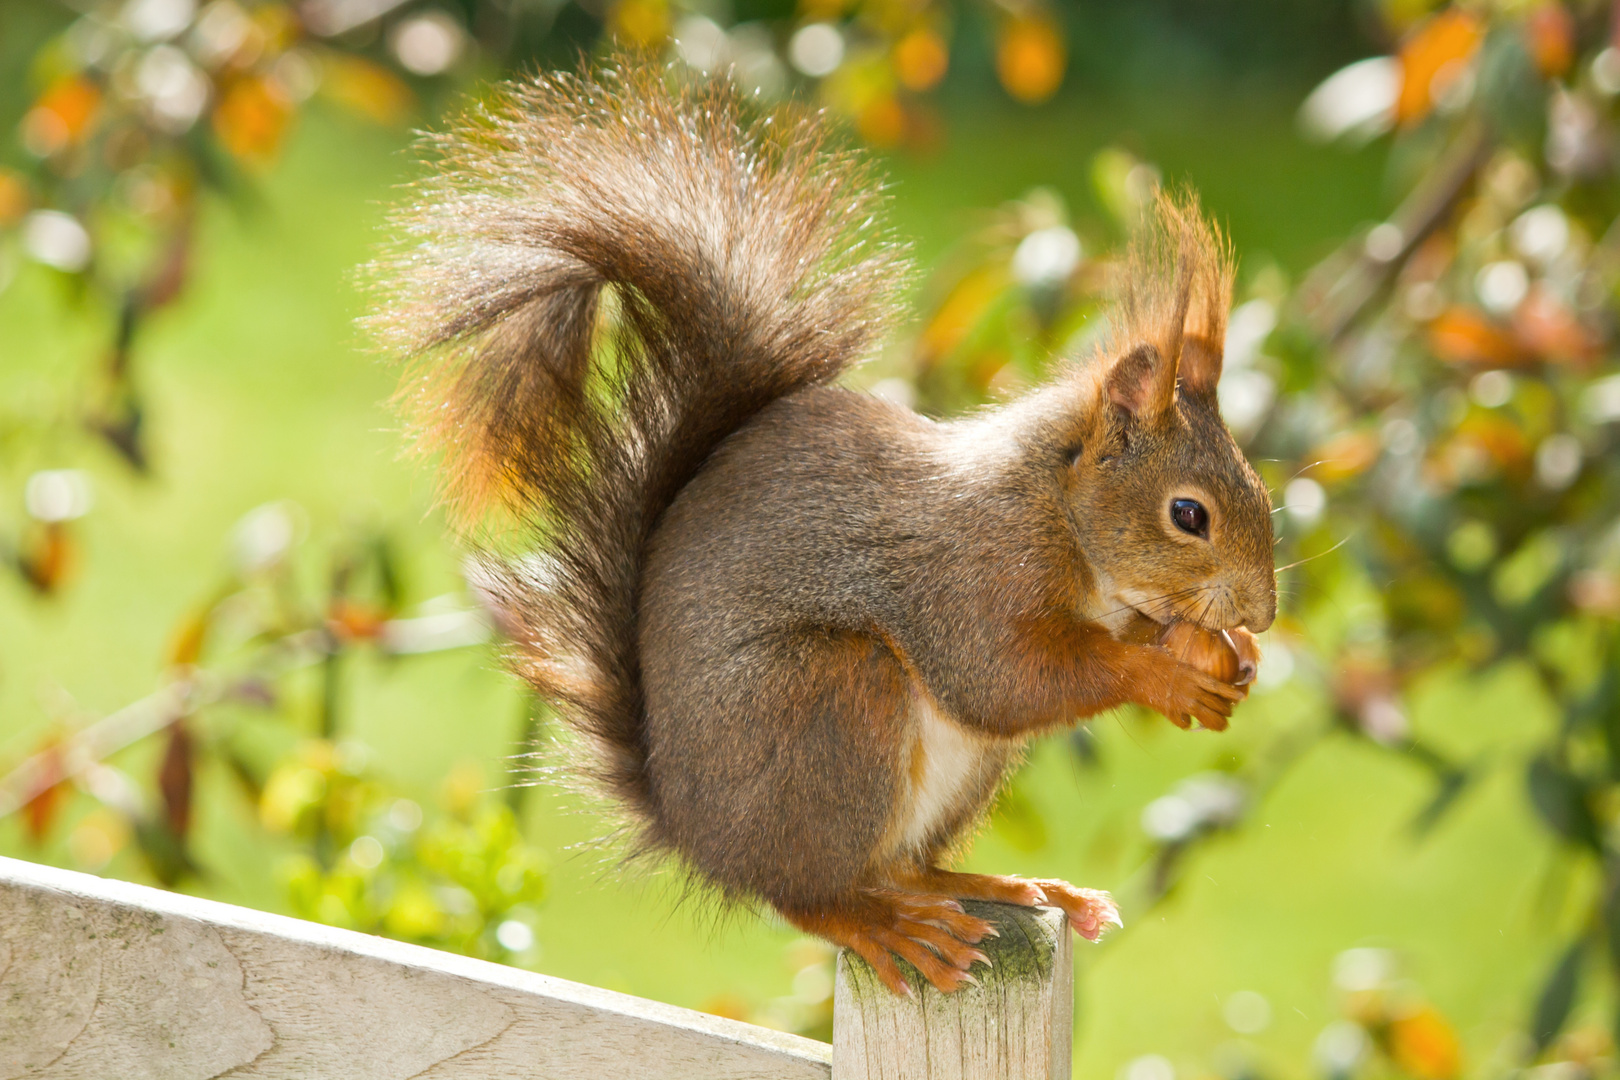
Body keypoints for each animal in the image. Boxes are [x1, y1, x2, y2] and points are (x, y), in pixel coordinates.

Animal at [370, 59, 1276, 997]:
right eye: (1189, 514)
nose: (1266, 611)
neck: (1059, 514)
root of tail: (696, 831)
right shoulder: (972, 570)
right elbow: (1002, 678)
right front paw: (1162, 674)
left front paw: (1222, 654)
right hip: (831, 702)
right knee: (808, 894)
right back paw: (880, 924)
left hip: (959, 773)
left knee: (908, 866)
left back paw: (1002, 885)